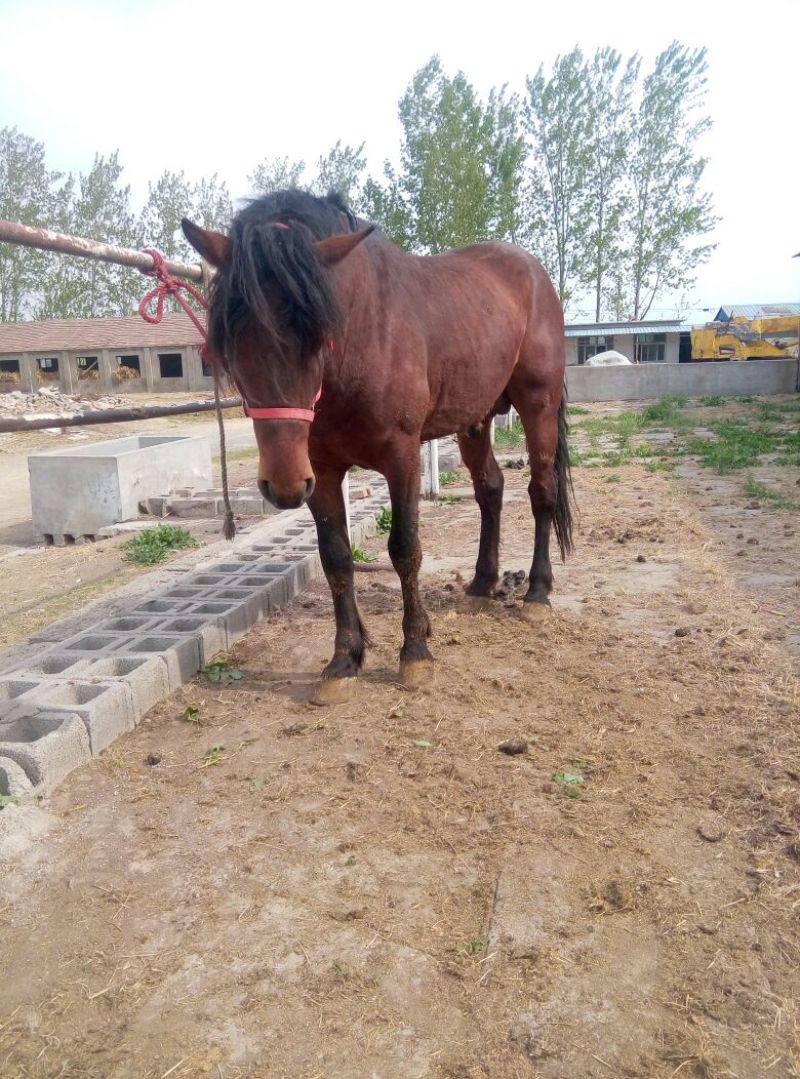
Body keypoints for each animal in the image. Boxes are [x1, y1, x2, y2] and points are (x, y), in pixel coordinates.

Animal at [182, 190, 572, 702]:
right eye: (231, 338)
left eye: (319, 335)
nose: (283, 486)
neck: (364, 341)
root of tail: (533, 272)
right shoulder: (321, 471)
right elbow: (336, 558)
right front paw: (344, 659)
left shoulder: (402, 458)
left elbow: (405, 549)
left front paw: (416, 652)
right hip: (476, 418)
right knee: (490, 488)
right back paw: (482, 581)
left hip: (537, 404)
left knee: (542, 491)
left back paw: (538, 593)